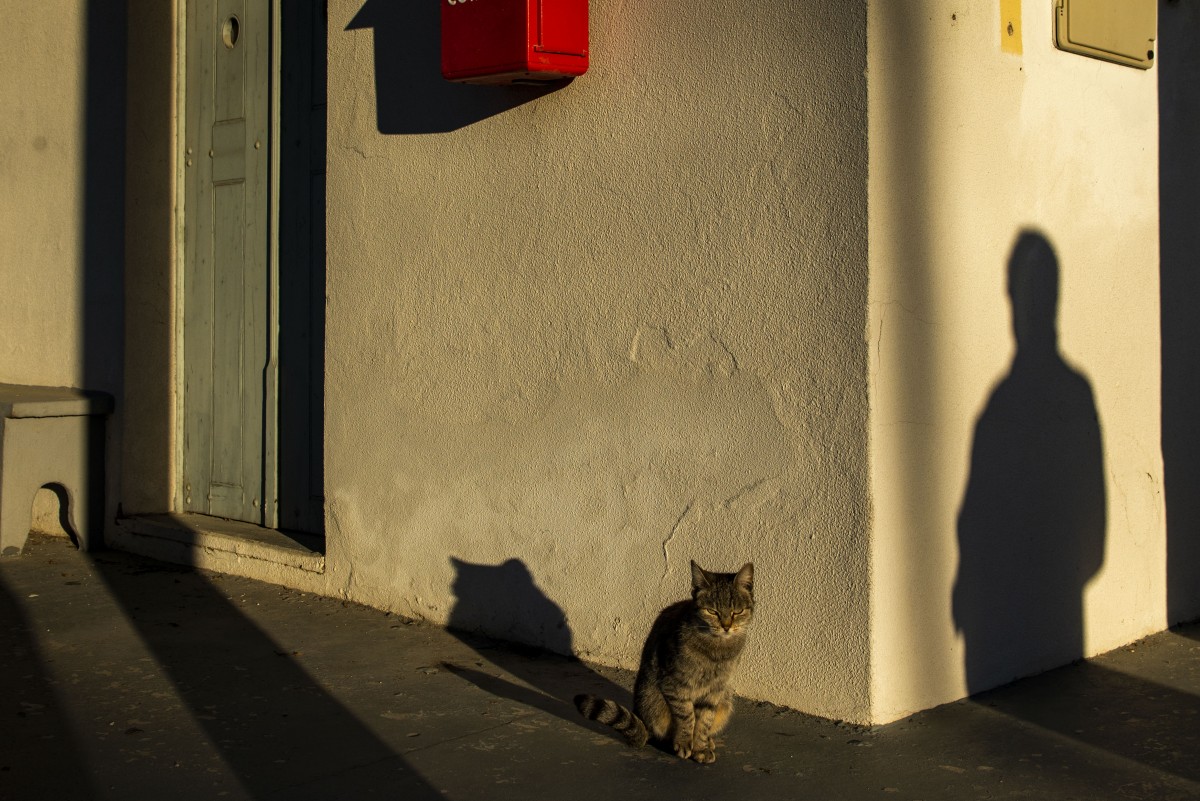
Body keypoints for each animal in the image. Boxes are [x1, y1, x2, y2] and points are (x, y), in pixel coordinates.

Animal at [571, 561, 748, 767]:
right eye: (712, 611)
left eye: (738, 612)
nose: (726, 626)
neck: (717, 649)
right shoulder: (674, 683)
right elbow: (687, 717)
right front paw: (685, 742)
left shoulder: (715, 690)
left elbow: (704, 722)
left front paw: (701, 747)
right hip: (653, 701)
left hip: (725, 702)